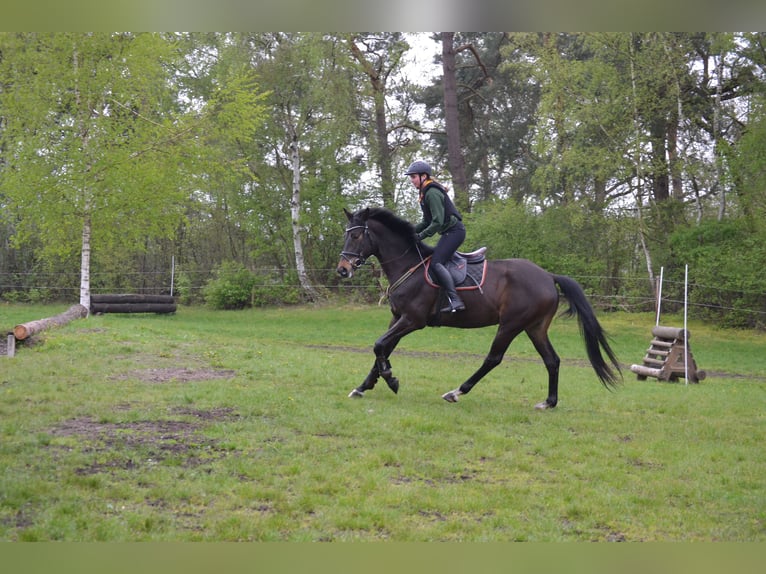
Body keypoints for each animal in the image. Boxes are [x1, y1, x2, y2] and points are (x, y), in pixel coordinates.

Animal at [338, 207, 624, 410]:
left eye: (356, 235)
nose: (343, 270)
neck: (408, 266)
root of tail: (547, 276)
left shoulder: (412, 320)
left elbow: (379, 345)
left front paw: (391, 379)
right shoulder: (398, 318)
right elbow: (383, 348)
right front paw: (363, 386)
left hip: (511, 324)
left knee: (493, 359)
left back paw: (456, 392)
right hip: (535, 327)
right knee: (551, 360)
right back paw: (549, 402)